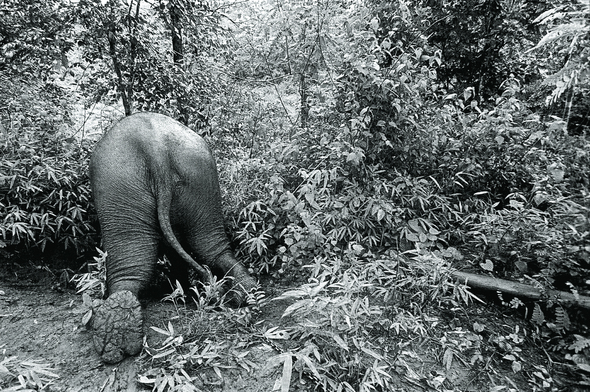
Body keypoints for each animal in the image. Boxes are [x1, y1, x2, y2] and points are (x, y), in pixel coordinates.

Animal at [88, 112, 256, 362]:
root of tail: (154, 146)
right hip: (199, 175)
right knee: (212, 247)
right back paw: (244, 293)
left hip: (118, 185)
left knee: (132, 258)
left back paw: (114, 334)